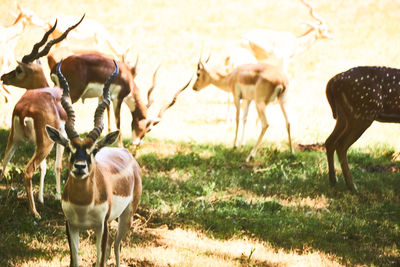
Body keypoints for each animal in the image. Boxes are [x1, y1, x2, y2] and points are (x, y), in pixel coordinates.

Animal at [0, 15, 84, 219]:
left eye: (19, 70)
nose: (3, 77)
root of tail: (24, 110)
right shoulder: (62, 138)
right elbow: (58, 166)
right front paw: (58, 197)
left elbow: (45, 167)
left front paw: (42, 198)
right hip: (46, 144)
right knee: (28, 170)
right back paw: (35, 213)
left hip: (15, 139)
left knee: (3, 166)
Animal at [45, 60, 142, 267]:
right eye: (69, 148)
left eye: (94, 150)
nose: (80, 167)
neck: (83, 204)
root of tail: (126, 154)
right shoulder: (71, 225)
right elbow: (74, 261)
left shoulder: (101, 226)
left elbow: (100, 261)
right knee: (110, 246)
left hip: (126, 217)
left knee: (117, 246)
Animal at [46, 52, 191, 149]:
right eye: (148, 129)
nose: (136, 143)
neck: (126, 76)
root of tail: (57, 66)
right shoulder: (118, 98)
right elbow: (118, 122)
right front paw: (120, 146)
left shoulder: (102, 96)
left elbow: (105, 115)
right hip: (72, 95)